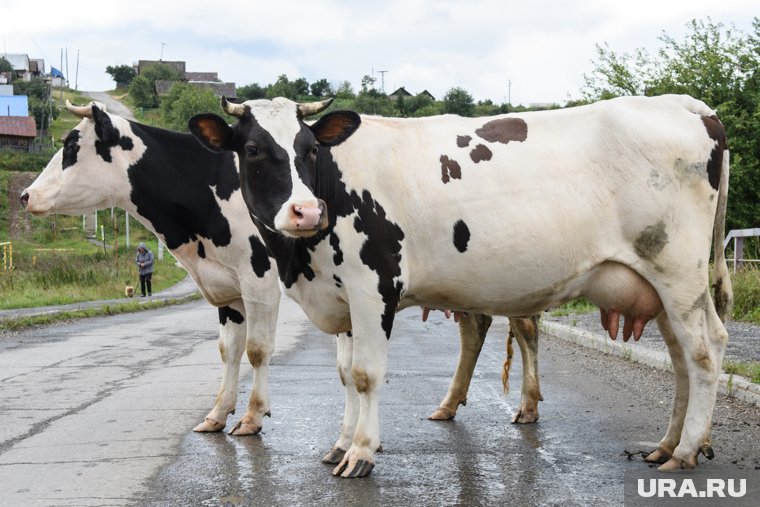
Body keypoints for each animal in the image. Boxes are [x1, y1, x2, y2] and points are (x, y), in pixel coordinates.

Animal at [20, 101, 544, 442]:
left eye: (70, 146)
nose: (24, 195)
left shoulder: (258, 278)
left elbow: (256, 349)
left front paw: (251, 417)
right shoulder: (228, 288)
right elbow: (228, 350)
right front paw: (217, 413)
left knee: (523, 327)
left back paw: (526, 405)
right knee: (479, 326)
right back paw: (452, 404)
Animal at [193, 94, 732, 476]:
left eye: (308, 150)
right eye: (254, 149)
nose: (306, 212)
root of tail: (683, 103)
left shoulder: (374, 287)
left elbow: (367, 374)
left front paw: (361, 453)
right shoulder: (342, 296)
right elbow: (346, 375)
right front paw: (341, 443)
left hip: (678, 273)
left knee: (705, 351)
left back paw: (686, 450)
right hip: (659, 289)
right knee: (683, 360)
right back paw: (666, 444)